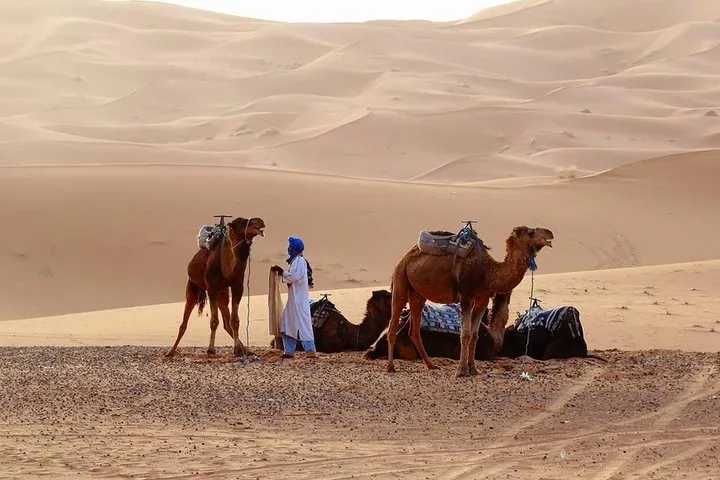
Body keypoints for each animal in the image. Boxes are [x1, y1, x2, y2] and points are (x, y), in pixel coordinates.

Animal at [166, 216, 266, 358]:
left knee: (227, 322)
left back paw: (246, 350)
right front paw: (211, 350)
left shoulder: (237, 287)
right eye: (241, 222)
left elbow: (235, 321)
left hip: (222, 292)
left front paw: (237, 350)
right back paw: (171, 352)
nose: (260, 221)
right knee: (184, 322)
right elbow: (213, 321)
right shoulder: (211, 288)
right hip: (193, 287)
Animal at [386, 224, 553, 377]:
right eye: (531, 232)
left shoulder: (482, 299)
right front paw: (461, 370)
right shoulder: (466, 296)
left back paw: (431, 365)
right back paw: (390, 367)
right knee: (393, 325)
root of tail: (405, 257)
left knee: (414, 330)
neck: (488, 272)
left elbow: (474, 335)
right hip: (400, 281)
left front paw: (473, 369)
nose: (550, 233)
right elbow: (465, 334)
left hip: (417, 294)